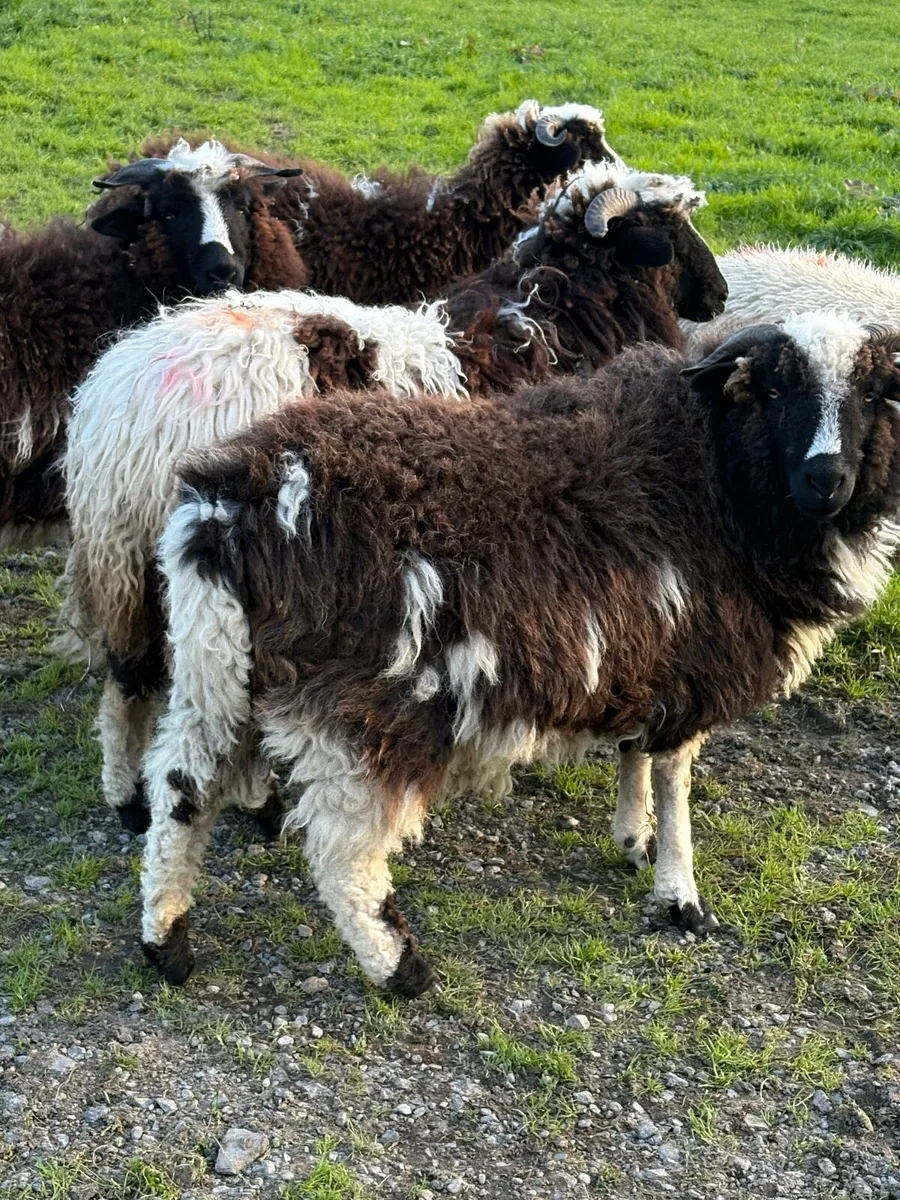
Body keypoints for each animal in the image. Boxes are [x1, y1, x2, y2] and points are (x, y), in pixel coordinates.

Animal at [61, 159, 727, 833]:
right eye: (667, 232)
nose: (720, 295)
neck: (558, 315)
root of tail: (126, 403)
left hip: (124, 558)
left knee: (127, 677)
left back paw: (128, 801)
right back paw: (262, 807)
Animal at [135, 313, 900, 991]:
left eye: (872, 394)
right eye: (774, 387)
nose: (826, 478)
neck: (716, 474)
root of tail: (231, 504)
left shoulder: (644, 650)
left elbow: (635, 752)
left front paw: (632, 839)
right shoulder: (696, 663)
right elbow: (674, 777)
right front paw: (680, 893)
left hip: (216, 671)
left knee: (182, 787)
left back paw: (166, 940)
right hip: (370, 701)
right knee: (340, 851)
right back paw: (398, 967)